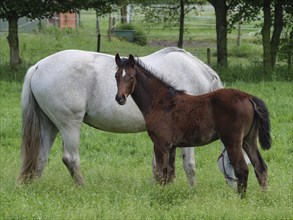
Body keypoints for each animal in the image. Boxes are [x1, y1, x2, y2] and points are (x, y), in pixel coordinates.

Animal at [17, 47, 243, 186]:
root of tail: (38, 66)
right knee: (70, 159)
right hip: (68, 125)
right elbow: (189, 166)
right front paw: (192, 191)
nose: (237, 187)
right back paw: (83, 187)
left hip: (49, 125)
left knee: (40, 158)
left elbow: (158, 166)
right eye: (231, 163)